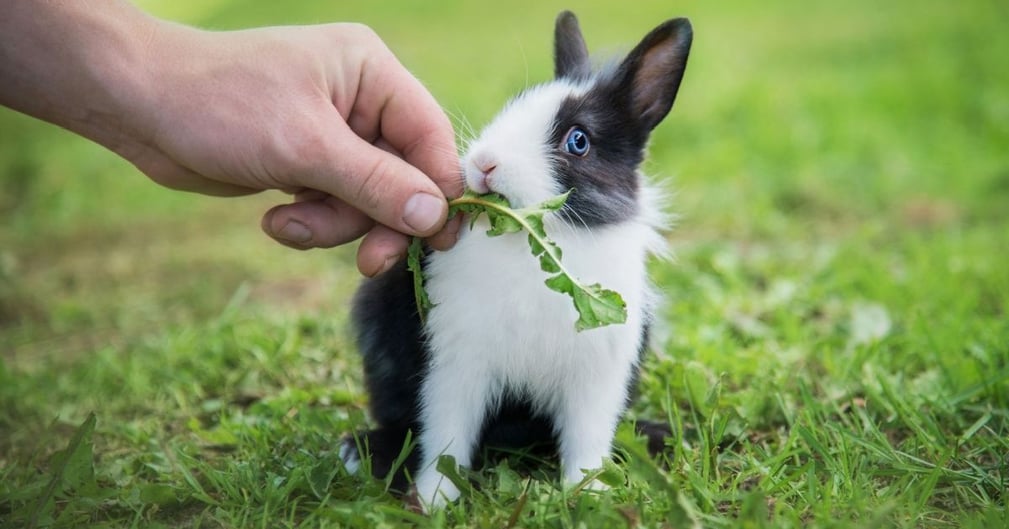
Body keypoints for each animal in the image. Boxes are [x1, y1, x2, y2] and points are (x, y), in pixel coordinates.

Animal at [343, 11, 690, 508]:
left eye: (578, 141)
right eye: (512, 107)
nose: (485, 164)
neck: (537, 244)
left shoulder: (599, 374)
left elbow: (586, 439)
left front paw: (589, 491)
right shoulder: (455, 365)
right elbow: (447, 436)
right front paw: (433, 500)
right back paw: (361, 450)